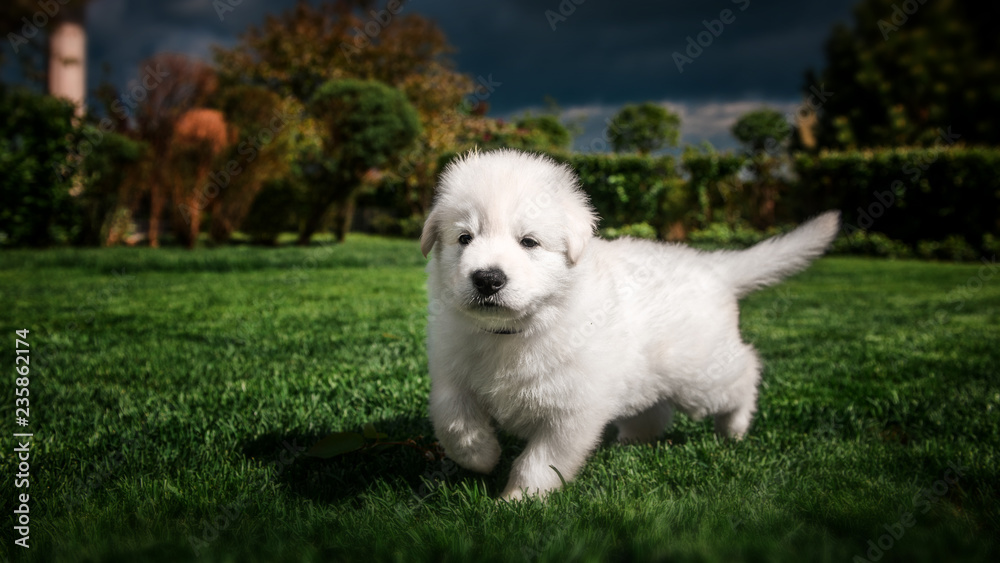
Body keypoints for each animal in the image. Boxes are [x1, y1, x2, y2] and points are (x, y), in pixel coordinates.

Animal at [418, 148, 840, 500]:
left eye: (529, 242)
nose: (487, 279)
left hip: (700, 375)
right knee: (654, 411)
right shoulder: (452, 372)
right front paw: (481, 456)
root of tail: (714, 267)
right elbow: (454, 419)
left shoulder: (572, 411)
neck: (513, 332)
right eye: (464, 238)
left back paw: (734, 427)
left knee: (745, 370)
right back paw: (631, 441)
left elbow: (539, 461)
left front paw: (518, 501)